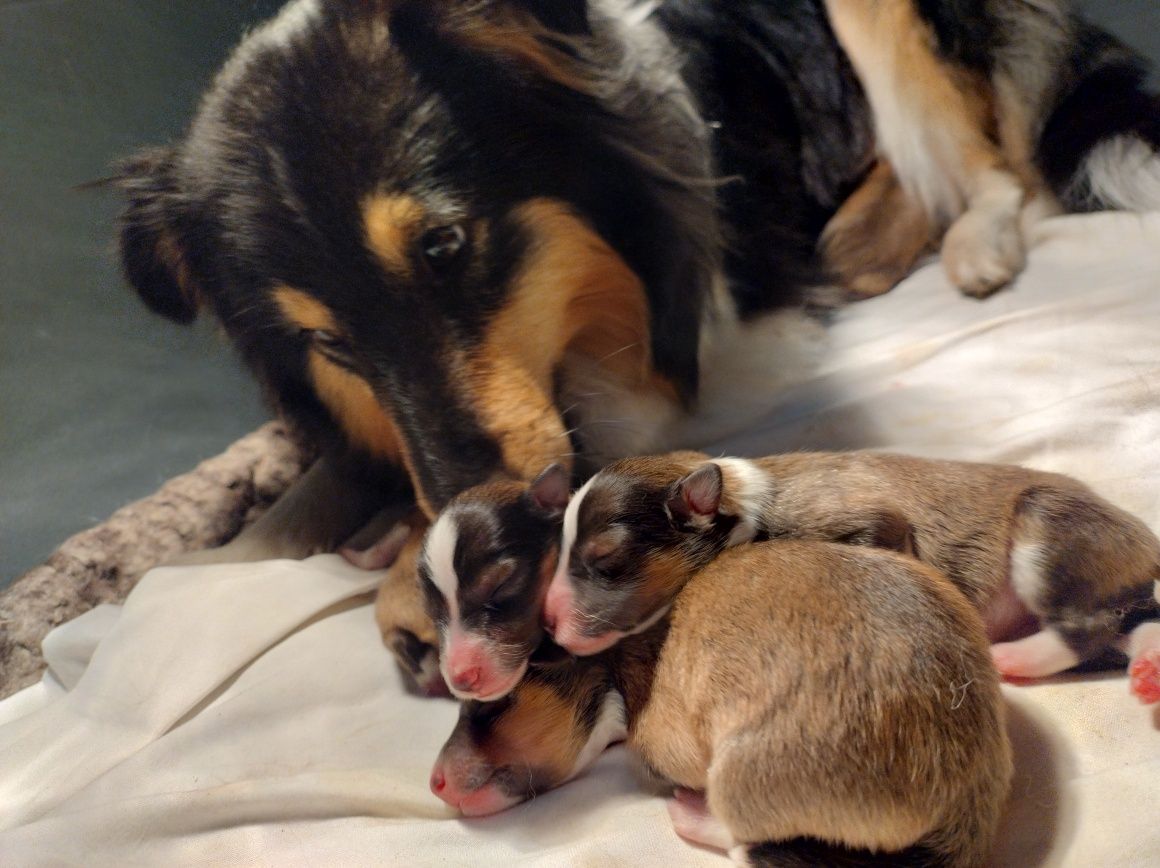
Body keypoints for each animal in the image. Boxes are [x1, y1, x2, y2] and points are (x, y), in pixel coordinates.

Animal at [431, 538, 1011, 863]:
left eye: (491, 705)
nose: (434, 783)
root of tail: (967, 803)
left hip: (743, 773)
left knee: (748, 842)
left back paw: (695, 815)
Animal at [545, 447, 1160, 705]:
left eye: (606, 560)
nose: (547, 621)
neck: (743, 499)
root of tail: (1144, 545)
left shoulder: (870, 521)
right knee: (1130, 623)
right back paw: (1148, 668)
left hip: (1052, 529)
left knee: (1087, 625)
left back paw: (1013, 658)